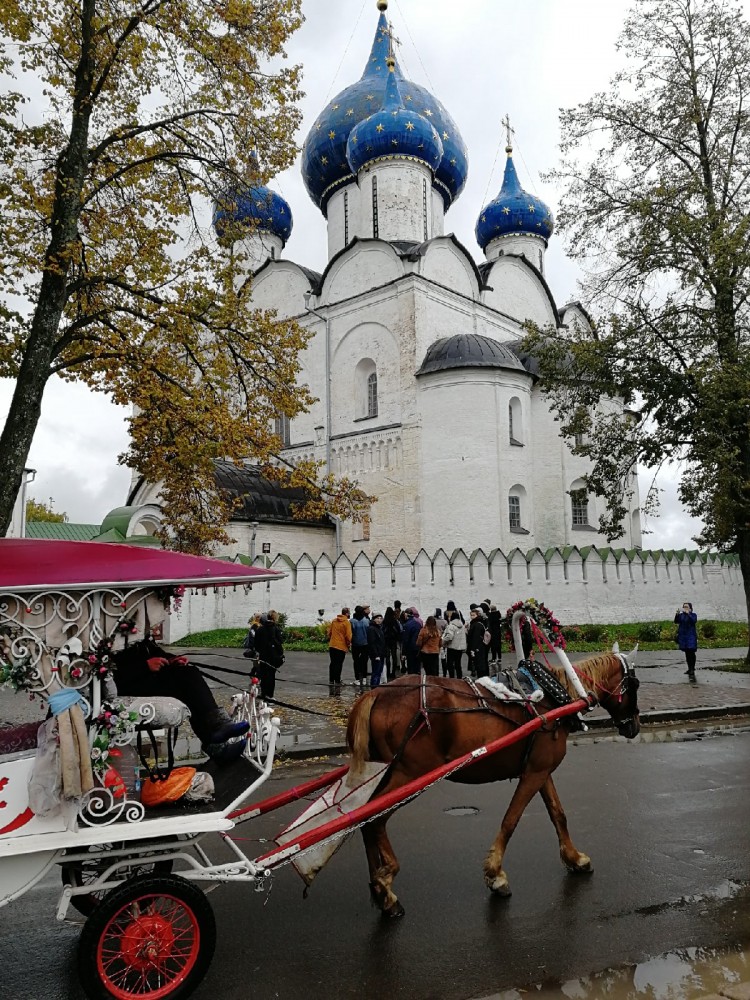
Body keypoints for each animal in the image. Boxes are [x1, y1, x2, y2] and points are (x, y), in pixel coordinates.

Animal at [346, 652, 640, 916]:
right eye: (634, 685)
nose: (634, 727)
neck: (554, 698)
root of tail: (375, 694)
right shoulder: (533, 774)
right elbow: (511, 820)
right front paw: (495, 874)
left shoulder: (540, 770)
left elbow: (558, 814)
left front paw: (574, 858)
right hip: (410, 775)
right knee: (374, 819)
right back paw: (386, 884)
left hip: (385, 772)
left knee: (363, 820)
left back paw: (379, 889)